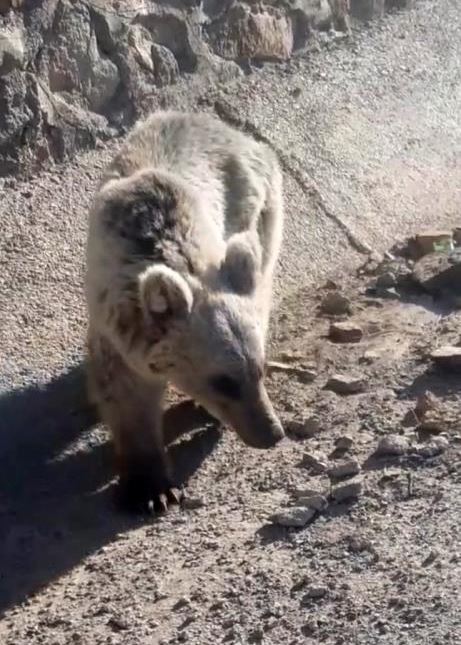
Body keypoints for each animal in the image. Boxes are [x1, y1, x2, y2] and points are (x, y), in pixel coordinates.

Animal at [84, 110, 282, 512]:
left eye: (260, 369)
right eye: (223, 380)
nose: (273, 433)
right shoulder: (115, 322)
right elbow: (126, 394)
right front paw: (151, 488)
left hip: (260, 215)